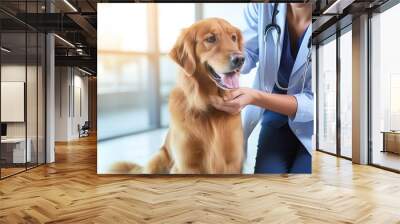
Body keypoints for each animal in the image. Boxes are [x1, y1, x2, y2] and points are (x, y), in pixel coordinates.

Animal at [111, 18, 245, 174]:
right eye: (211, 38)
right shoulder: (186, 164)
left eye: (233, 38)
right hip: (158, 159)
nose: (240, 59)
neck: (207, 107)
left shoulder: (233, 162)